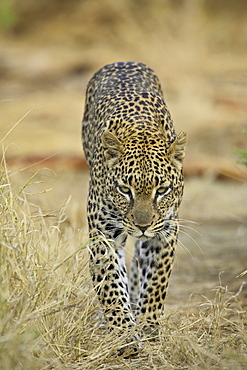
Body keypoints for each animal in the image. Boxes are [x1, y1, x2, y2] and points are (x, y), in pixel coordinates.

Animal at [81, 60, 187, 342]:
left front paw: (148, 325)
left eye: (162, 190)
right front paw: (123, 334)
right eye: (124, 189)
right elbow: (110, 285)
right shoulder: (103, 232)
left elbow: (156, 281)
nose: (142, 226)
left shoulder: (166, 230)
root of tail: (123, 61)